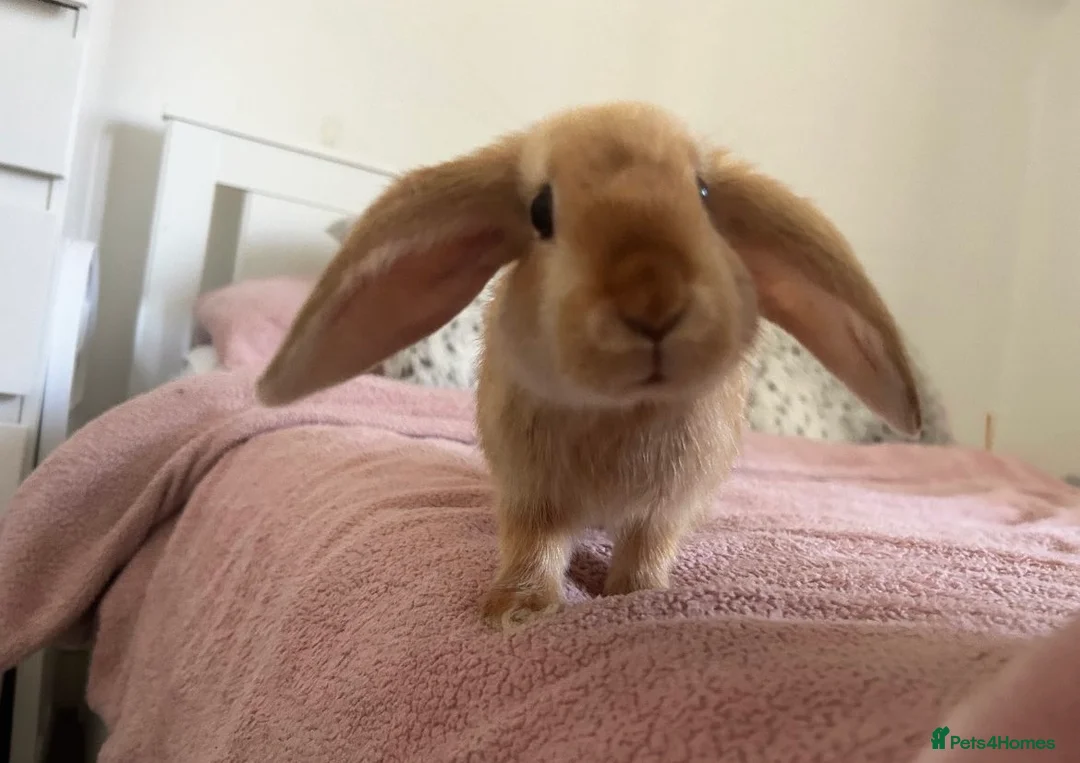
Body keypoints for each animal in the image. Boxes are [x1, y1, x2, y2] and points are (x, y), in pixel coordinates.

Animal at [255, 101, 922, 631]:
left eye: (704, 197)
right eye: (540, 211)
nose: (652, 300)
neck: (621, 408)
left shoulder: (666, 506)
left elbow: (649, 547)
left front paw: (638, 598)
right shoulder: (531, 494)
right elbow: (534, 547)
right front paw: (516, 612)